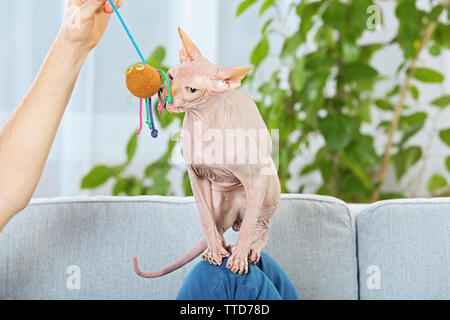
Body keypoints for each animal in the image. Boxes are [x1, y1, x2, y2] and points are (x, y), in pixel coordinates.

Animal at [134, 27, 282, 276]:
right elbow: (205, 216)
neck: (203, 122)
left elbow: (249, 225)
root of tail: (234, 215)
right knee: (218, 225)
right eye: (171, 76)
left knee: (259, 224)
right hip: (218, 200)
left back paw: (249, 249)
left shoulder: (258, 175)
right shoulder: (195, 175)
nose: (164, 93)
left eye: (192, 89)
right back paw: (220, 247)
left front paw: (239, 259)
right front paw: (214, 250)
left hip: (269, 184)